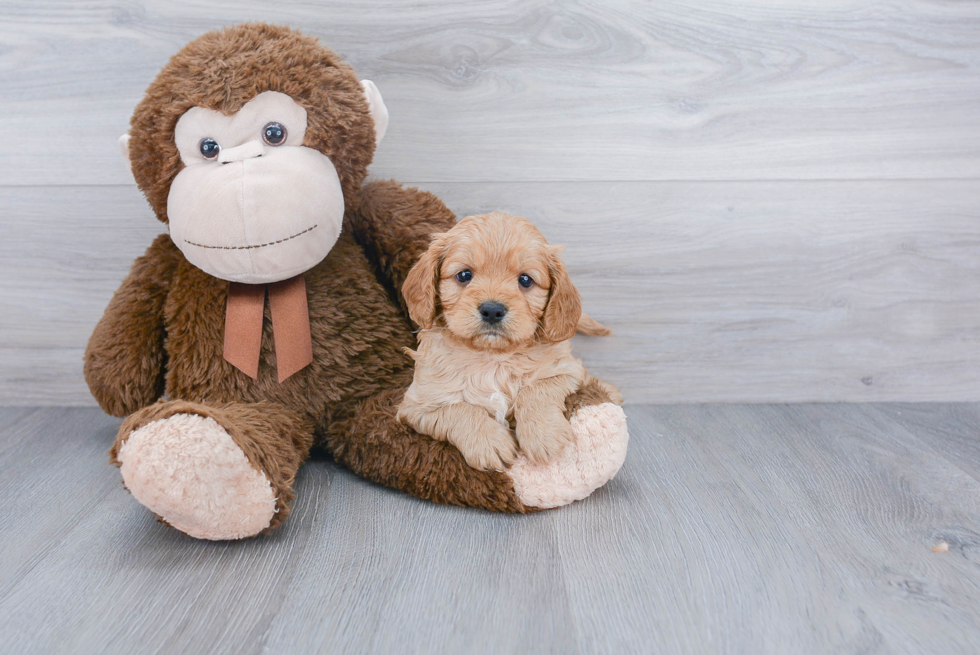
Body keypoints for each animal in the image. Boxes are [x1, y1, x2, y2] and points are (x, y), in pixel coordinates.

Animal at [396, 213, 620, 468]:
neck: (492, 358)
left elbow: (536, 389)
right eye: (464, 275)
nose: (492, 310)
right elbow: (459, 410)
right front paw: (488, 442)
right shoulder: (417, 406)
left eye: (525, 280)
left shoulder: (566, 371)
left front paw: (543, 435)